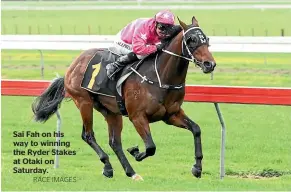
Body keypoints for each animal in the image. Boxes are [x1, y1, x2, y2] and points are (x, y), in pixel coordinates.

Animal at [32, 16, 217, 180]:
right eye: (191, 39)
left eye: (206, 38)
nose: (210, 64)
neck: (161, 77)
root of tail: (71, 67)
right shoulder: (137, 117)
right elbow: (150, 147)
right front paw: (136, 152)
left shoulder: (171, 115)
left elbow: (196, 129)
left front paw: (197, 168)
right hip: (84, 102)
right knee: (88, 135)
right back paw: (108, 166)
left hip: (111, 111)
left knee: (114, 142)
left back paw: (130, 172)